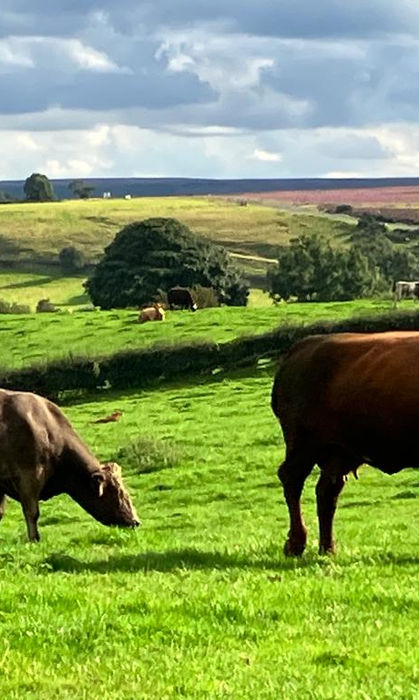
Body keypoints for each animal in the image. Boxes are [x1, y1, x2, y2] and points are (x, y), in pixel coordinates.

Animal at [271, 331, 419, 556]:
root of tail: (304, 346)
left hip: (338, 453)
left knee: (326, 491)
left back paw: (327, 548)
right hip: (304, 447)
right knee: (292, 480)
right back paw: (296, 544)